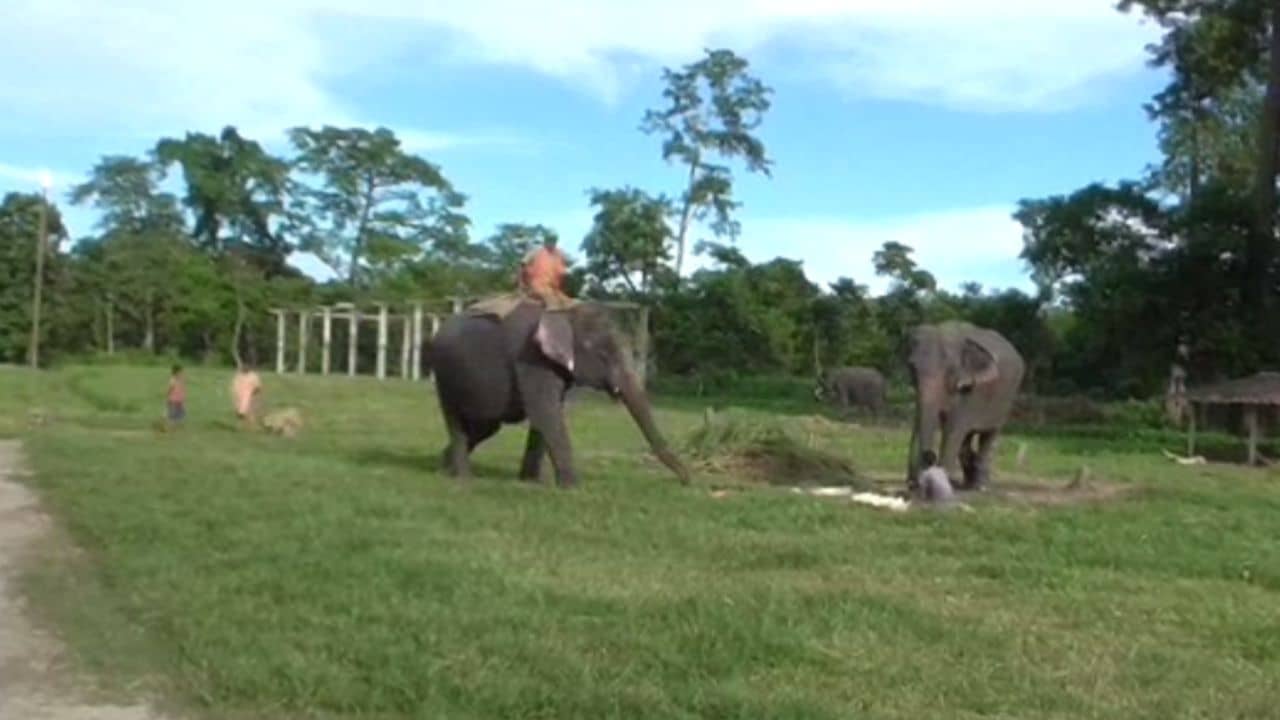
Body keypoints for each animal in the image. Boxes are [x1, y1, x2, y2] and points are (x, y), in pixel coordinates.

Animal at [428, 299, 690, 487]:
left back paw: (444, 466)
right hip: (445, 375)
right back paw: (462, 477)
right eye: (603, 354)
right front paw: (573, 488)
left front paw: (531, 482)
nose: (687, 482)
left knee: (486, 426)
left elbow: (545, 416)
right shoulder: (531, 359)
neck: (563, 313)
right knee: (457, 421)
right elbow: (546, 412)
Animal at [904, 321, 1024, 493]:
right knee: (967, 439)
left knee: (989, 436)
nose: (930, 456)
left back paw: (980, 486)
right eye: (912, 367)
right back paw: (966, 483)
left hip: (1007, 398)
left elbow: (953, 429)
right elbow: (921, 420)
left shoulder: (968, 391)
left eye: (949, 369)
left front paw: (943, 482)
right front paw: (914, 484)